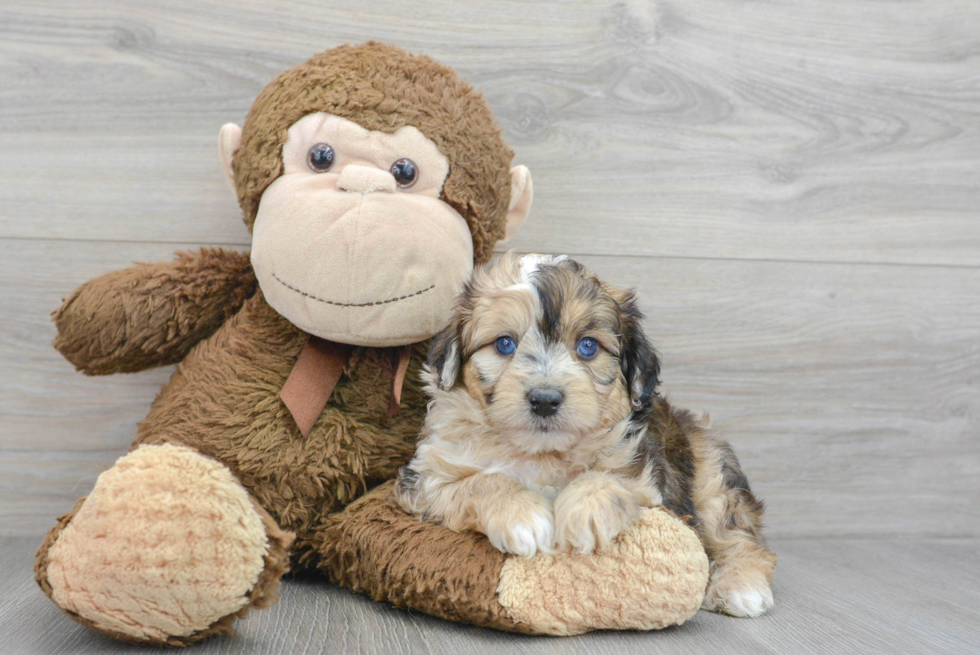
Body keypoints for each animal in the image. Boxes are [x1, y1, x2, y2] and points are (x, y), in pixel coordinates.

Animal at [394, 254, 776, 616]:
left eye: (588, 346)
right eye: (504, 344)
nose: (545, 399)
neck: (541, 452)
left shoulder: (649, 481)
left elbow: (609, 477)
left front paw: (586, 511)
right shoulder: (425, 479)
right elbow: (480, 482)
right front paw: (523, 515)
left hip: (712, 476)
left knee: (738, 535)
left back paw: (741, 586)